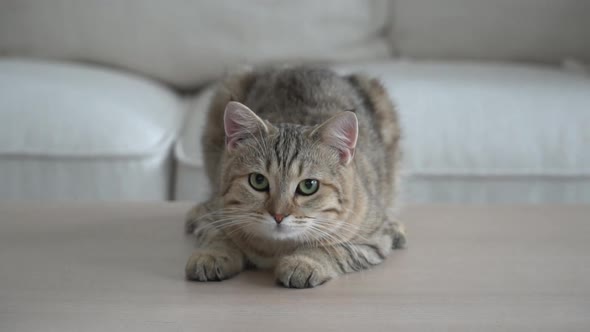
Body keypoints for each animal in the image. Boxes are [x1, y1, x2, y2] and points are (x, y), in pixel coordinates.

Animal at [185, 65, 408, 288]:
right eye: (258, 181)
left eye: (309, 185)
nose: (278, 215)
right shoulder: (213, 212)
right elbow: (216, 235)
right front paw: (212, 255)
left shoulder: (371, 239)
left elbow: (332, 248)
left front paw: (303, 262)